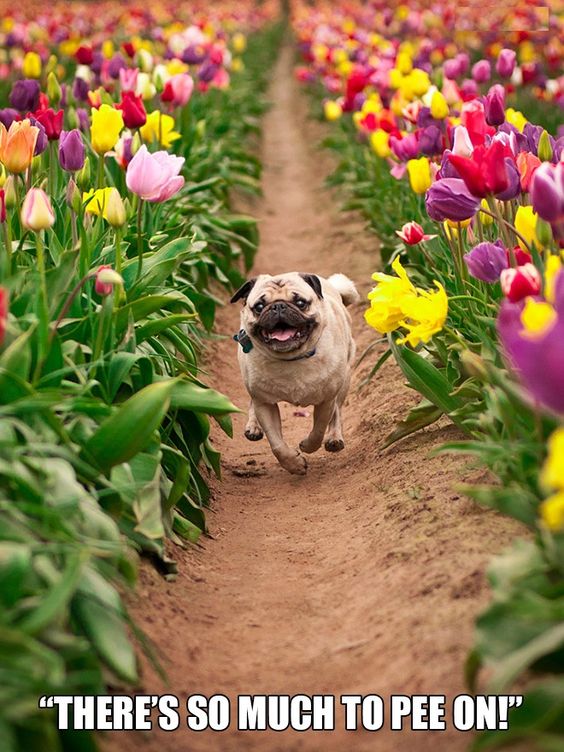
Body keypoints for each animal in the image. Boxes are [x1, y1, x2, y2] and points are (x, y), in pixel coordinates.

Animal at [230, 274, 360, 476]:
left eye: (300, 303)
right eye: (259, 306)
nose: (278, 306)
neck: (292, 358)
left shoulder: (326, 401)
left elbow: (318, 430)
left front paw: (307, 446)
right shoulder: (265, 404)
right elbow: (277, 445)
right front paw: (295, 464)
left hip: (344, 380)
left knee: (337, 411)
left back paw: (334, 438)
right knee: (252, 402)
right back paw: (253, 426)